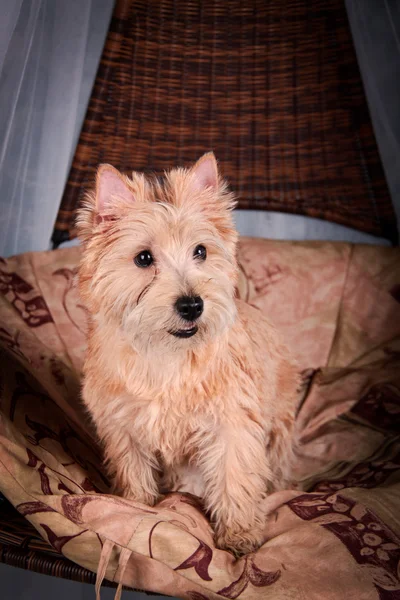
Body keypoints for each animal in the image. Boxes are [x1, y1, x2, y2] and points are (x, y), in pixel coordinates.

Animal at [76, 154, 298, 552]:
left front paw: (239, 533)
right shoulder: (123, 428)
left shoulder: (232, 427)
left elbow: (235, 477)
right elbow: (133, 474)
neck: (167, 354)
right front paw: (134, 507)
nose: (193, 305)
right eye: (143, 258)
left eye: (201, 251)